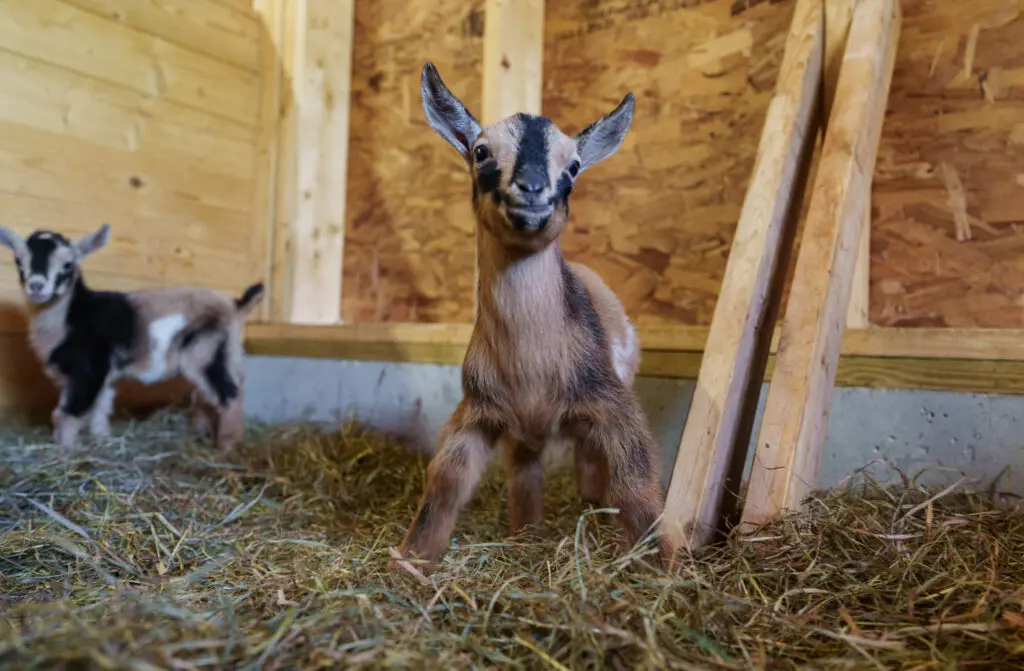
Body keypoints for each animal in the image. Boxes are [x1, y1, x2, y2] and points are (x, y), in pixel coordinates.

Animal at [0, 223, 263, 450]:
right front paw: (101, 440)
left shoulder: (88, 371)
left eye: (67, 264)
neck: (74, 315)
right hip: (226, 353)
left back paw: (226, 448)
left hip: (205, 352)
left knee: (229, 396)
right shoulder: (103, 375)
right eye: (19, 261)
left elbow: (66, 413)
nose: (36, 286)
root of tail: (236, 306)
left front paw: (64, 451)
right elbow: (100, 409)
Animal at [393, 63, 674, 572]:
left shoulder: (612, 403)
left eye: (574, 165)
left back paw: (589, 511)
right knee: (526, 468)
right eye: (481, 151)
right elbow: (446, 479)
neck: (533, 364)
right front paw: (412, 560)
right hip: (525, 432)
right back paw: (525, 533)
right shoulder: (480, 408)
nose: (531, 190)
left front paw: (656, 566)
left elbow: (635, 482)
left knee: (589, 461)